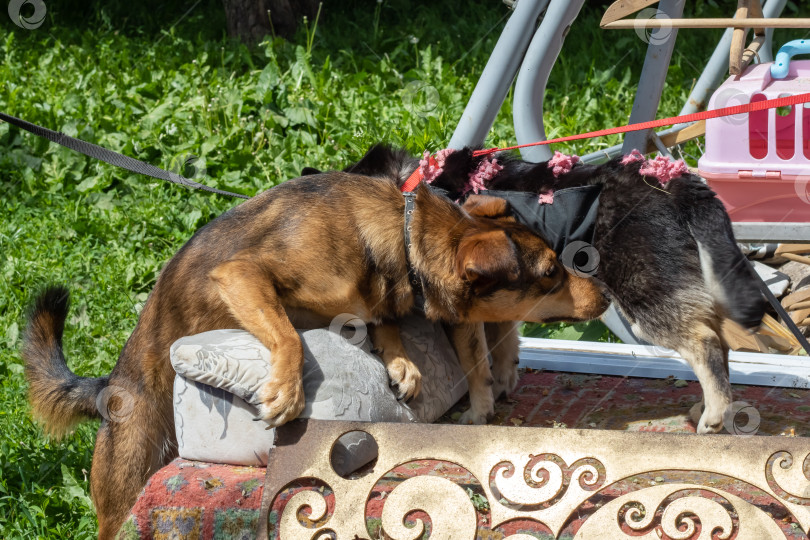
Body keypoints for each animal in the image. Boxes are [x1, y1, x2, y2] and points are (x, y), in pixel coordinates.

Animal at [22, 170, 608, 536]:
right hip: (127, 482)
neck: (401, 239)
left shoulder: (374, 304)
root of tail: (108, 388)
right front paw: (285, 390)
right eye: (551, 273)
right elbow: (284, 332)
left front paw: (403, 365)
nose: (606, 294)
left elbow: (384, 325)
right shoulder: (243, 273)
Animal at [328, 146, 764, 436]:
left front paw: (479, 412)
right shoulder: (500, 301)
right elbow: (503, 347)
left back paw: (715, 415)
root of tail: (677, 184)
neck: (411, 187)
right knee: (720, 342)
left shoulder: (464, 313)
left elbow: (476, 367)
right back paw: (711, 406)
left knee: (705, 342)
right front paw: (503, 385)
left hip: (644, 299)